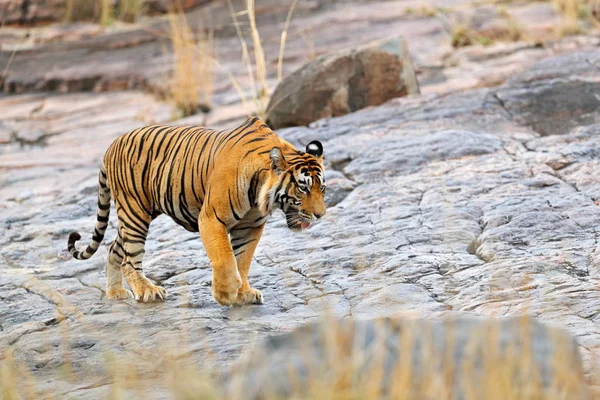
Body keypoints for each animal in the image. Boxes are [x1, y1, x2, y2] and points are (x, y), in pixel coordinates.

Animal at [67, 116, 326, 306]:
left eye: (322, 188)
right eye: (303, 188)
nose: (321, 215)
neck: (260, 192)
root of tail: (112, 144)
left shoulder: (251, 226)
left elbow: (242, 259)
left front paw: (244, 293)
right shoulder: (211, 218)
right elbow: (225, 258)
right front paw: (226, 294)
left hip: (136, 214)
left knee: (113, 249)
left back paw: (116, 293)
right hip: (134, 211)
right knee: (129, 260)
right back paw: (147, 291)